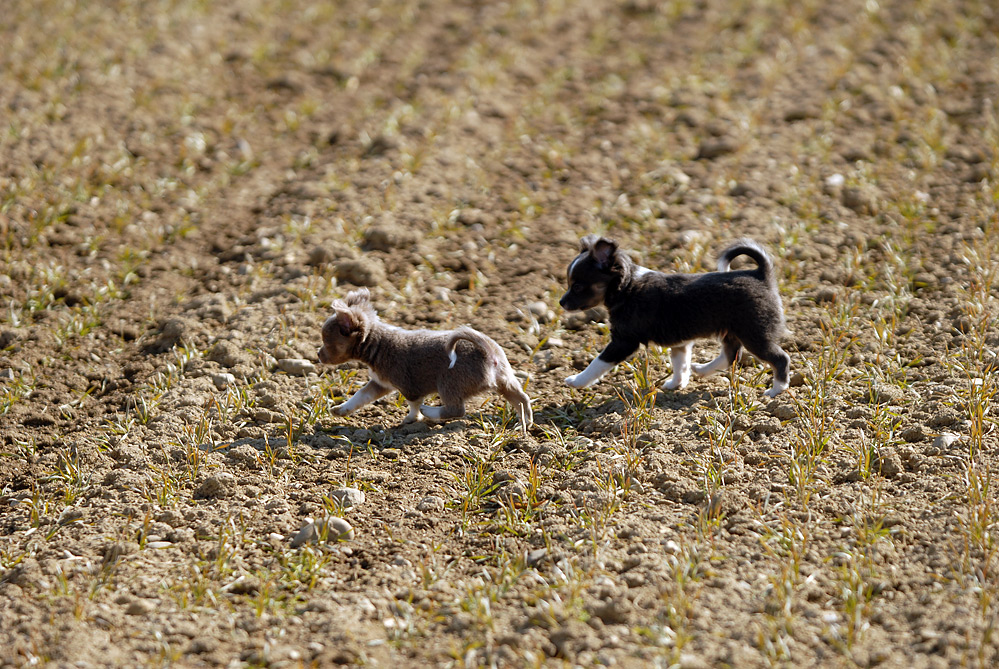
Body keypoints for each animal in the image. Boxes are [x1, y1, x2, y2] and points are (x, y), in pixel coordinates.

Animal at [318, 288, 536, 436]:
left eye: (326, 341)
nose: (318, 354)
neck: (378, 345)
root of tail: (487, 351)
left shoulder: (407, 386)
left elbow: (414, 405)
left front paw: (412, 419)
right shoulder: (380, 383)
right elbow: (360, 396)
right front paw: (340, 410)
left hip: (449, 382)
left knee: (456, 409)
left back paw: (430, 411)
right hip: (505, 380)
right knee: (522, 398)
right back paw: (525, 422)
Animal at [564, 236, 788, 396]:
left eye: (577, 287)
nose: (561, 303)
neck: (627, 287)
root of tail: (761, 274)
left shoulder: (623, 341)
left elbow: (598, 363)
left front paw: (576, 381)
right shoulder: (680, 342)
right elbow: (680, 363)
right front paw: (676, 384)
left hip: (754, 334)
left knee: (780, 358)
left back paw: (776, 390)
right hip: (731, 331)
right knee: (730, 356)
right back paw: (702, 369)